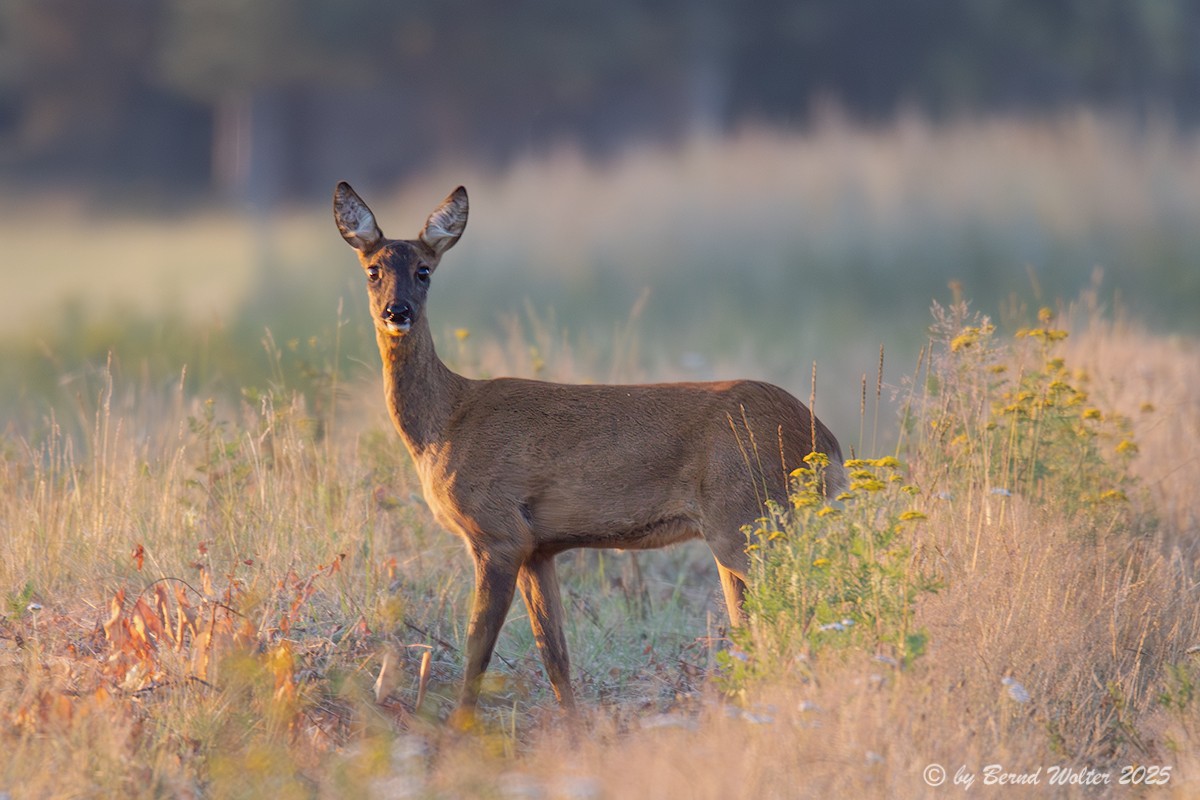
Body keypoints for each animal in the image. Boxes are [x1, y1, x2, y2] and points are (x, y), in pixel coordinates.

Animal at [333, 182, 845, 720]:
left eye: (424, 270)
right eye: (372, 269)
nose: (397, 312)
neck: (444, 423)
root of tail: (826, 443)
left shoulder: (497, 532)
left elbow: (478, 650)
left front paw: (459, 729)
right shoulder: (538, 548)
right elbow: (555, 656)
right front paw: (574, 730)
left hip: (748, 519)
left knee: (801, 608)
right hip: (745, 530)